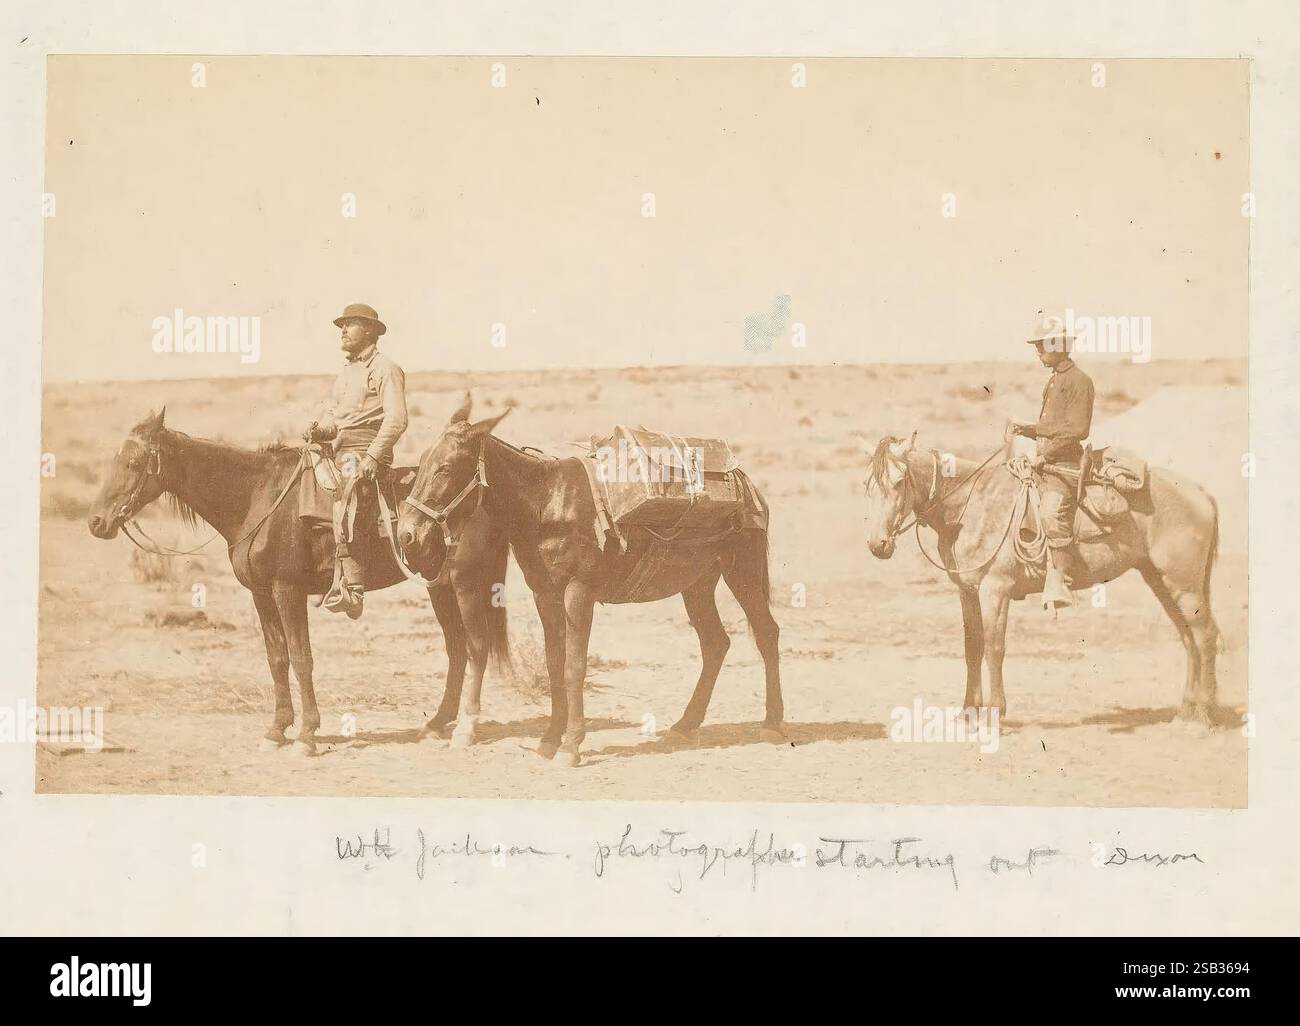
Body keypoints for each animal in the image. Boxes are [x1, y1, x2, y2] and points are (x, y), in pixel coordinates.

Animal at [86, 408, 510, 755]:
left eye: (134, 462)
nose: (96, 522)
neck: (255, 497)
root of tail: (484, 496)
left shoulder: (287, 591)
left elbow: (301, 658)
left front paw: (306, 735)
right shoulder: (261, 595)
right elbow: (277, 658)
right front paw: (276, 730)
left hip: (466, 586)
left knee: (475, 647)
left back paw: (462, 728)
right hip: (440, 588)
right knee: (457, 650)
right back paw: (436, 724)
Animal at [394, 394, 785, 767]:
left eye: (445, 468)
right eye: (421, 464)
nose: (407, 534)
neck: (546, 505)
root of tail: (747, 482)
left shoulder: (577, 593)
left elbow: (574, 666)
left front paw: (571, 745)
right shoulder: (545, 595)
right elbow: (554, 663)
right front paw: (550, 739)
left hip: (742, 570)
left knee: (766, 633)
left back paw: (773, 723)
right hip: (697, 583)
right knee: (716, 644)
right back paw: (685, 725)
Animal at [862, 431, 1221, 724]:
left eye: (899, 481)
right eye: (868, 485)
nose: (878, 545)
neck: (969, 505)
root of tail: (1201, 492)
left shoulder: (995, 590)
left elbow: (994, 647)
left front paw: (994, 714)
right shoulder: (967, 590)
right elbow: (972, 647)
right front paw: (968, 712)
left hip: (1183, 586)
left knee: (1204, 636)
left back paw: (1203, 716)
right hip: (1160, 581)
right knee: (1188, 638)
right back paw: (1187, 712)